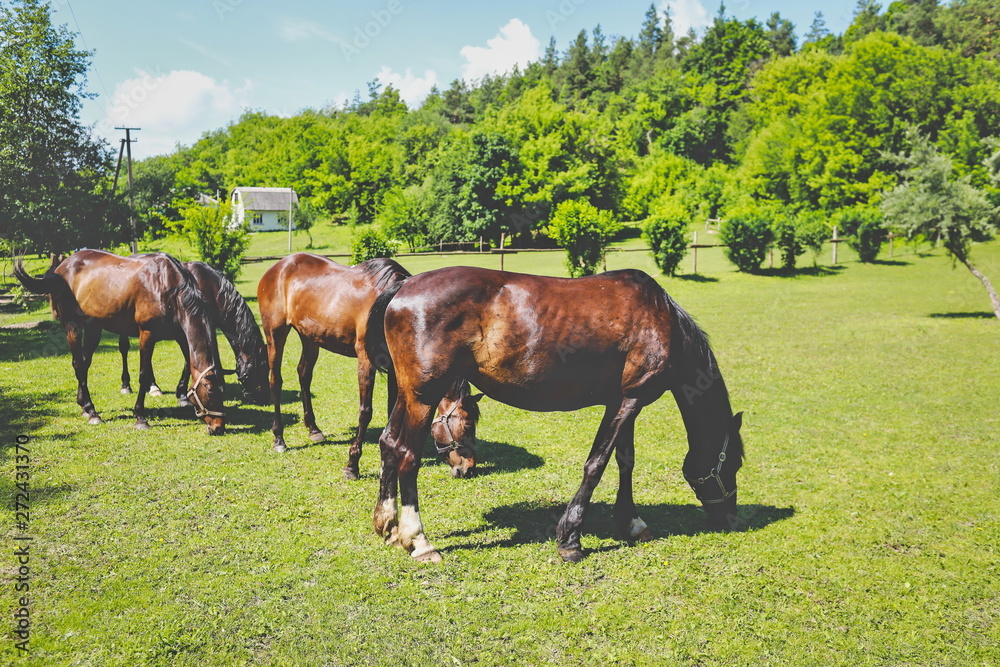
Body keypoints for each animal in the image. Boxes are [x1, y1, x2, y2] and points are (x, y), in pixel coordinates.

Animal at [14, 249, 227, 434]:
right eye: (209, 391)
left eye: (222, 389)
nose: (218, 427)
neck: (168, 287)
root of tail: (61, 268)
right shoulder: (147, 334)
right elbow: (143, 375)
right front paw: (140, 417)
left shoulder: (181, 335)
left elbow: (187, 364)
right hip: (72, 327)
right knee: (78, 365)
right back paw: (92, 412)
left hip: (94, 328)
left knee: (84, 363)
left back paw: (84, 406)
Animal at [117, 260, 272, 408]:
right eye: (263, 368)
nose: (265, 397)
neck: (208, 287)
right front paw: (182, 393)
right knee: (124, 349)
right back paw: (127, 385)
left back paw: (153, 386)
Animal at [254, 253, 480, 478]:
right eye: (467, 425)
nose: (468, 469)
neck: (389, 307)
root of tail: (279, 266)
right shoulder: (366, 360)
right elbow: (365, 411)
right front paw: (352, 464)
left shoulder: (394, 366)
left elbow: (392, 409)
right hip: (275, 333)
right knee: (276, 380)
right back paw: (279, 438)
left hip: (310, 337)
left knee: (304, 374)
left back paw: (313, 429)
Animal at [368, 266, 744, 564]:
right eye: (735, 463)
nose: (730, 518)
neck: (660, 318)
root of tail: (404, 287)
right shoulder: (630, 401)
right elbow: (596, 464)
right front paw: (570, 539)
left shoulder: (625, 400)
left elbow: (625, 461)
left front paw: (631, 522)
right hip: (422, 397)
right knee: (408, 456)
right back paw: (419, 541)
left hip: (408, 395)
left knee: (389, 444)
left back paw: (388, 526)